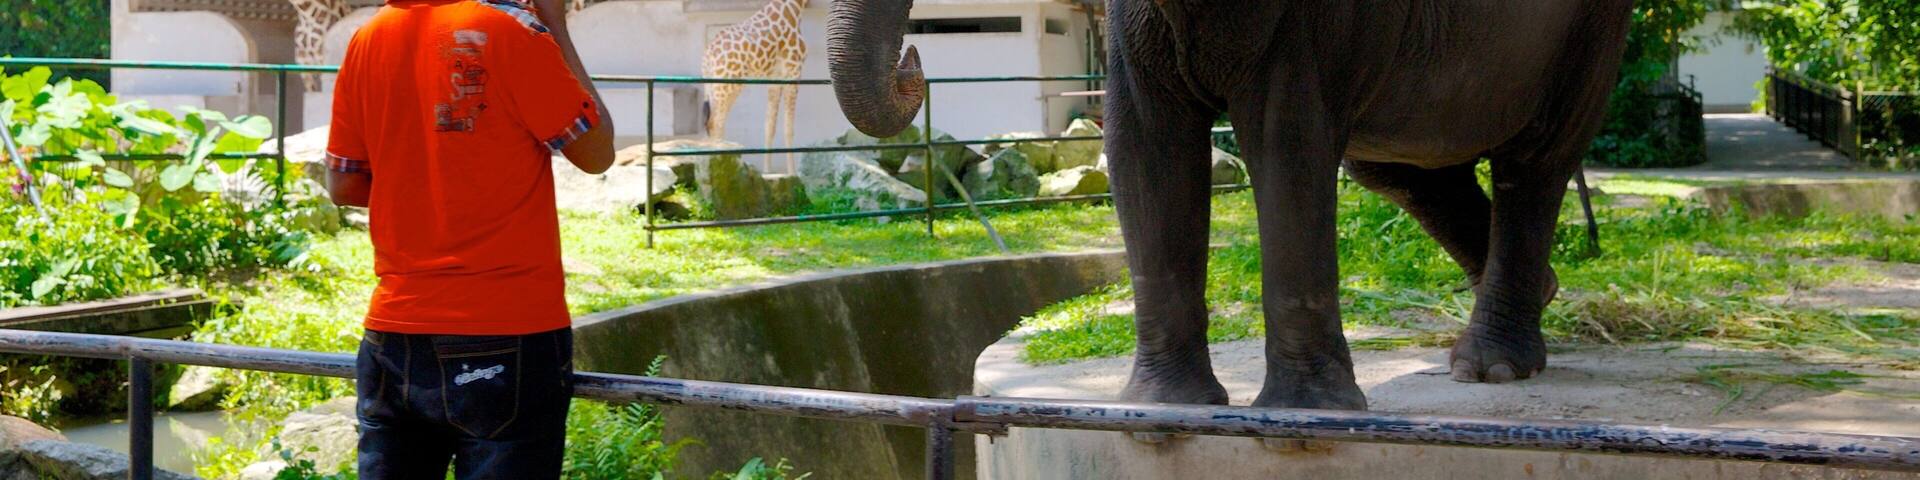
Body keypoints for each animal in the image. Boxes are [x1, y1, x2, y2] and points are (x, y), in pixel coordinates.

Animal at [701, 0, 808, 174]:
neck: (795, 8)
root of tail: (707, 57)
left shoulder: (775, 78)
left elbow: (769, 125)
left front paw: (767, 172)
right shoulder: (793, 71)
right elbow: (789, 128)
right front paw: (792, 173)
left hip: (716, 86)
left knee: (712, 124)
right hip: (727, 85)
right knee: (714, 123)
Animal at [825, 1, 1635, 410]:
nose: (915, 60)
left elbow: (1285, 134)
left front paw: (1304, 415)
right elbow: (1141, 139)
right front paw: (1165, 410)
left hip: (1591, 24)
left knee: (1536, 158)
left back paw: (1490, 368)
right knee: (1397, 164)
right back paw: (1535, 298)